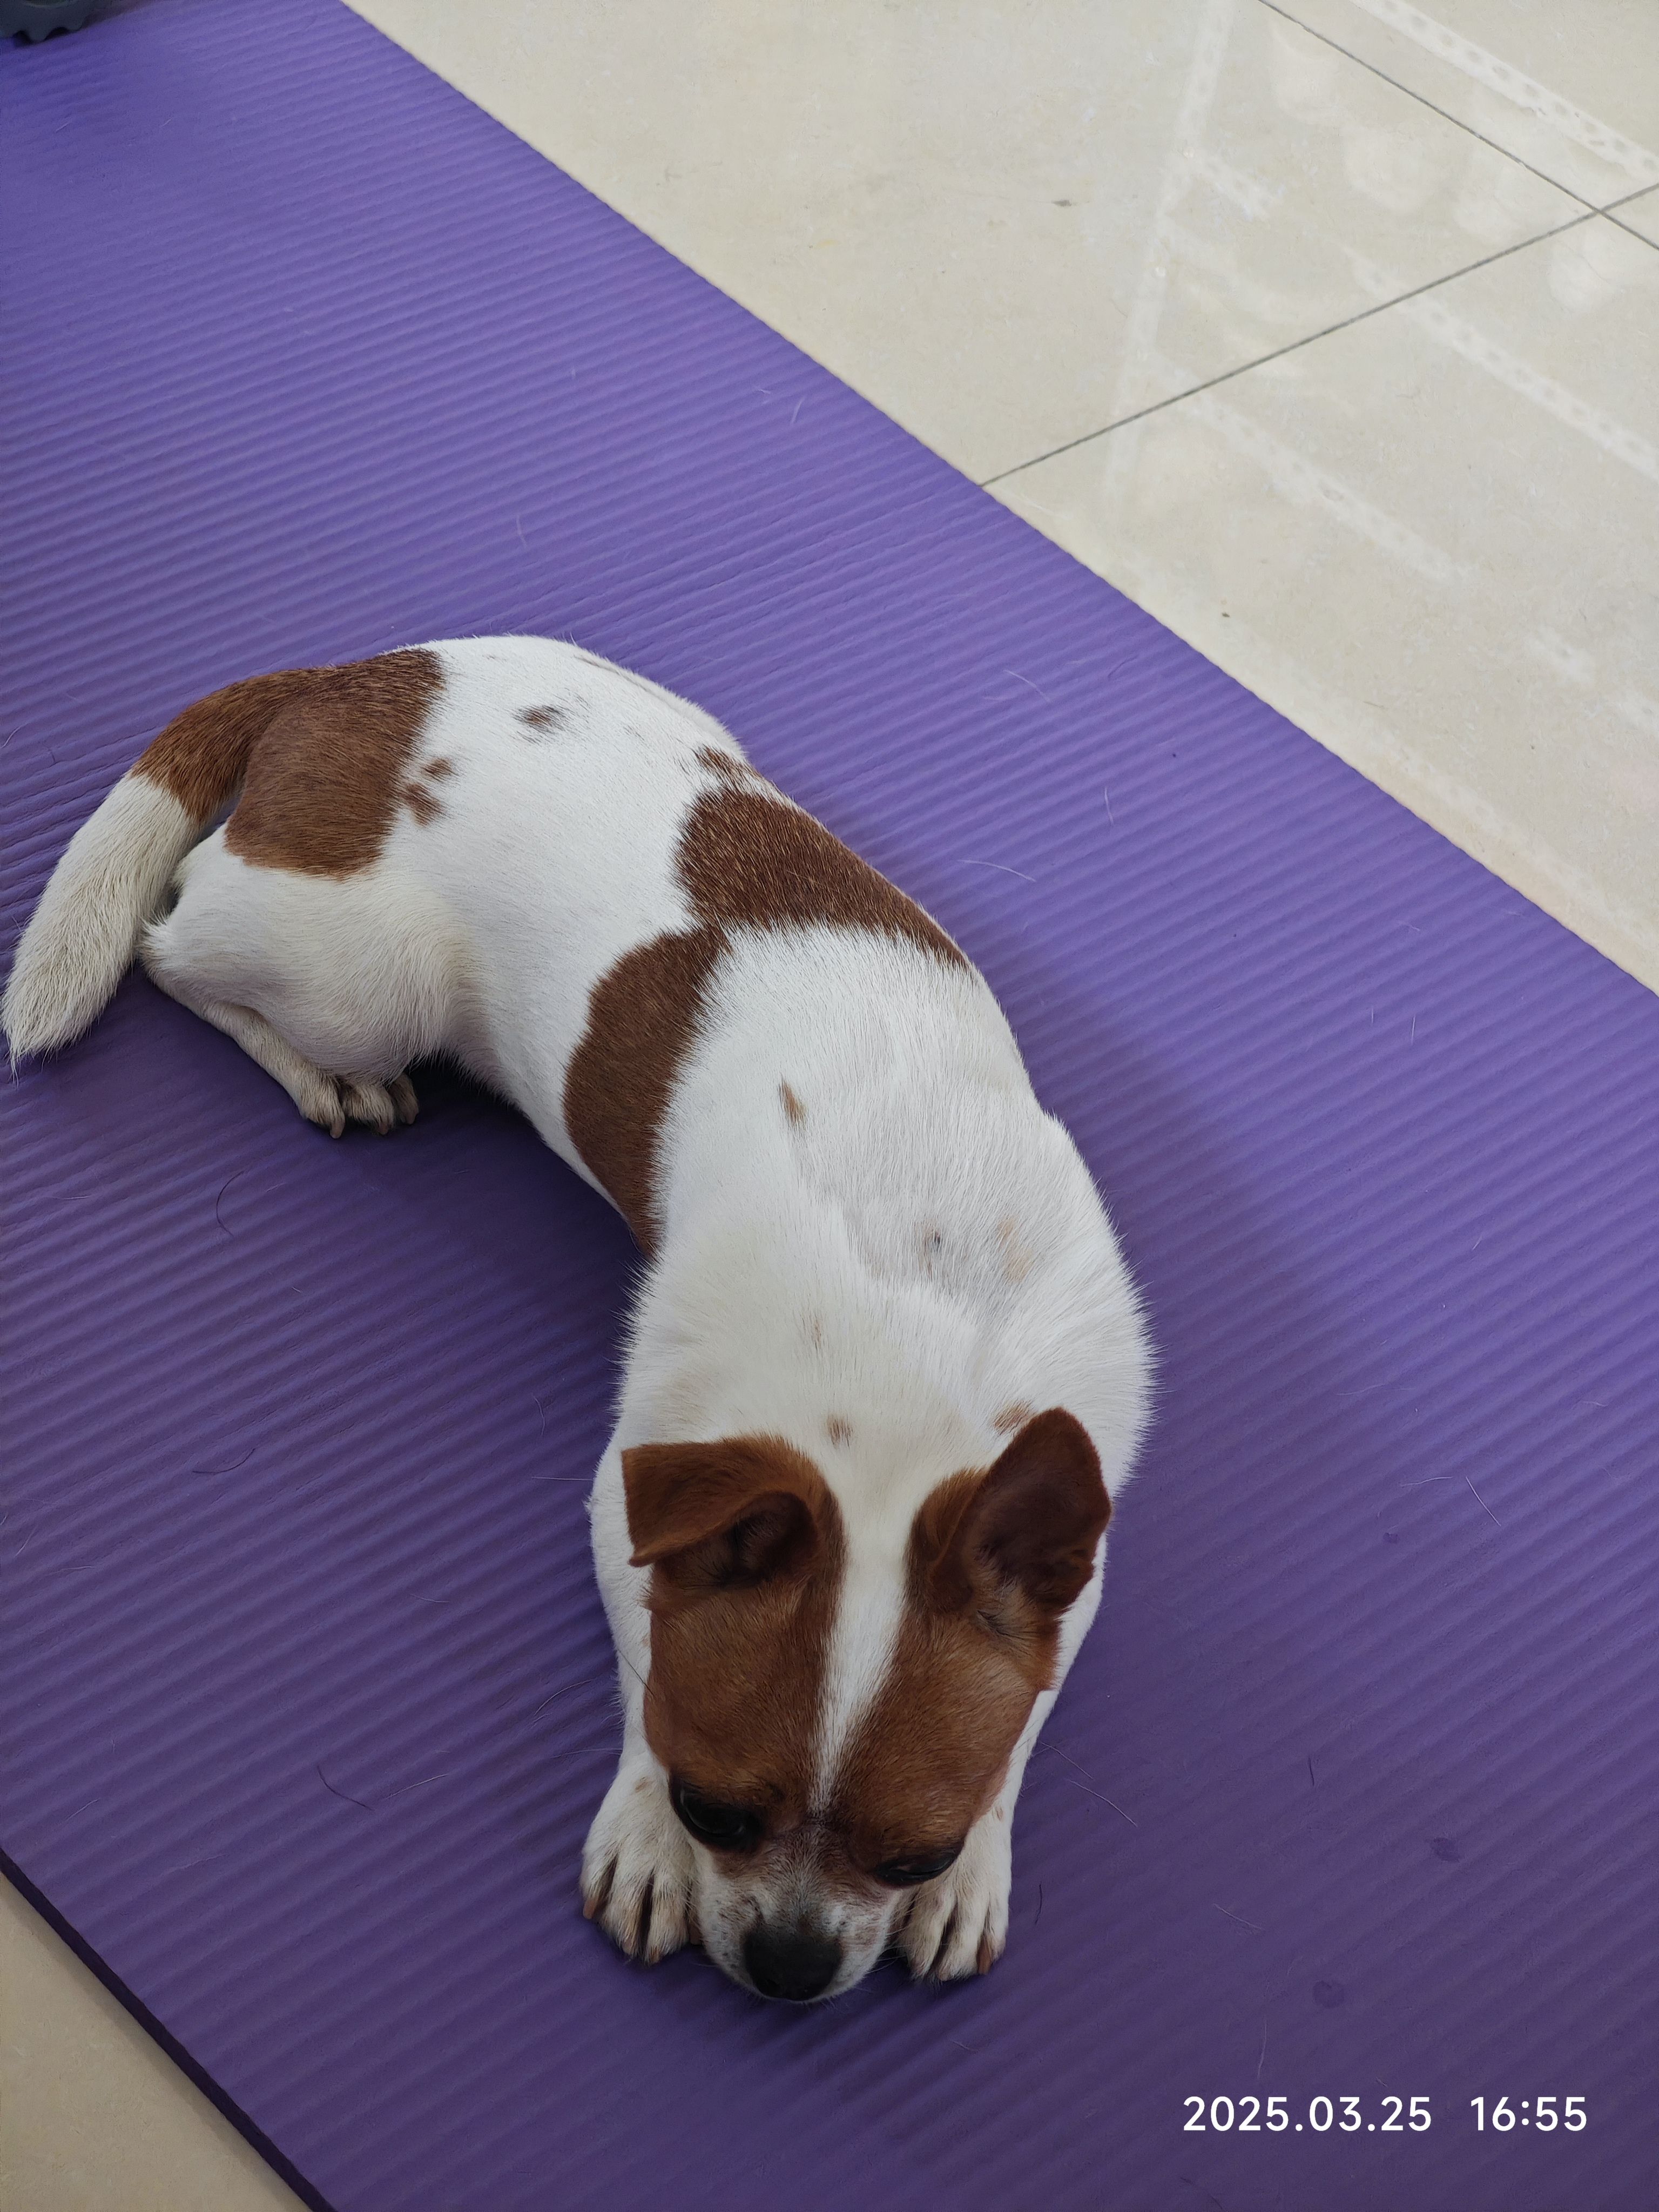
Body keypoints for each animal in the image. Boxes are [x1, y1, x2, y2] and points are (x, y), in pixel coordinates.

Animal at [3, 636, 1153, 2002]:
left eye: (911, 1855)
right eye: (715, 1810)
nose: (790, 1964)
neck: (917, 1314)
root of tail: (354, 675)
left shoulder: (1070, 1547)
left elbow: (1025, 1708)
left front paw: (979, 1858)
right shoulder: (633, 1490)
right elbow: (649, 1659)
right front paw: (647, 1830)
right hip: (362, 981)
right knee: (173, 937)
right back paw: (319, 1071)